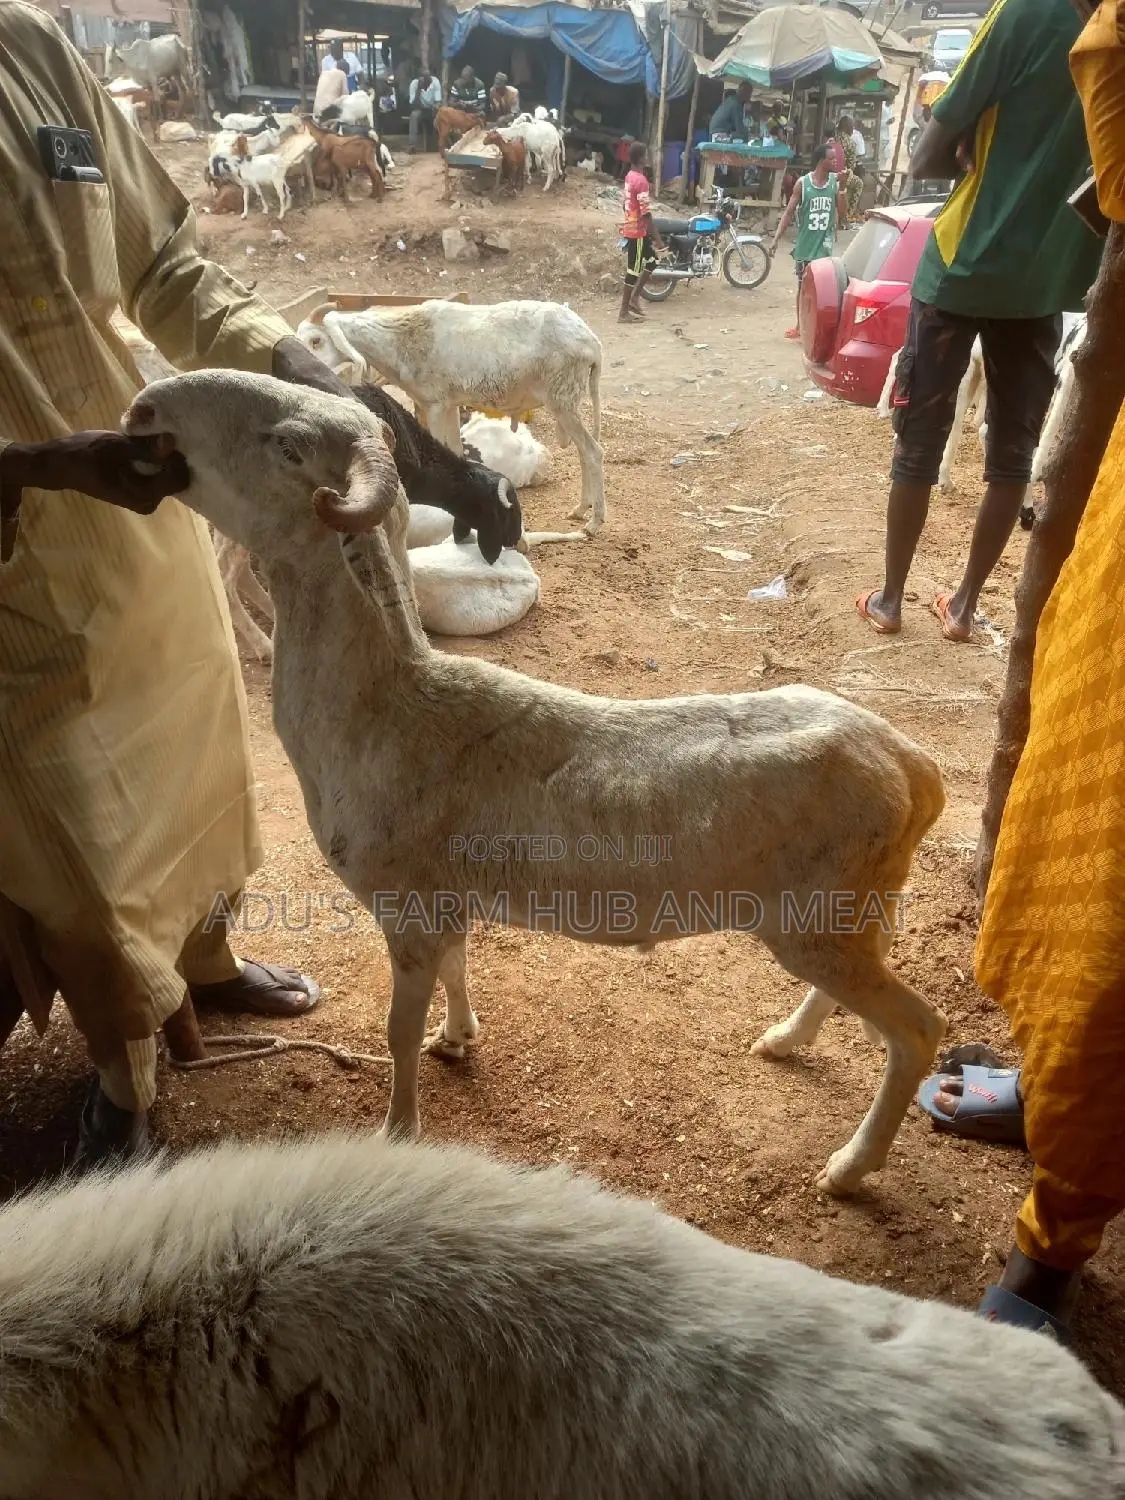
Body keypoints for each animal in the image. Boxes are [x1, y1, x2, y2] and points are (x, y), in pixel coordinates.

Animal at [125, 370, 949, 1196]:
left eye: (288, 447)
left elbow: (396, 1033)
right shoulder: (445, 900)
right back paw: (784, 1038)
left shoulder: (407, 908)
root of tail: (911, 764)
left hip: (819, 919)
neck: (383, 705)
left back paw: (848, 1166)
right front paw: (458, 1036)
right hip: (845, 912)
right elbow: (457, 973)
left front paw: (399, 1128)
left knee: (918, 1030)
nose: (145, 407)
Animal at [296, 299, 605, 533]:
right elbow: (456, 451)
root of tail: (593, 343)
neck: (399, 339)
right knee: (583, 452)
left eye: (316, 340)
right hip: (568, 401)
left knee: (593, 452)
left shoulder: (435, 405)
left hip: (562, 398)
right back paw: (581, 508)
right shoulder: (451, 404)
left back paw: (594, 521)